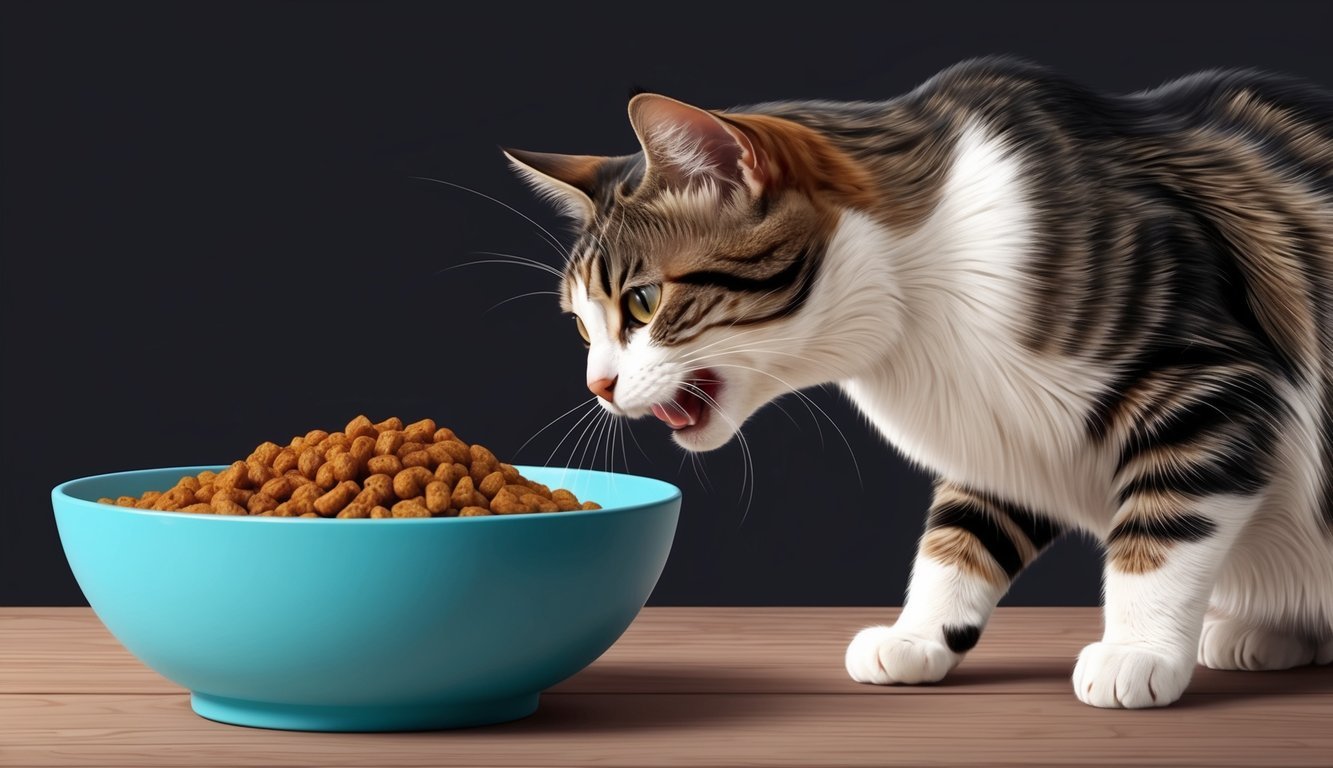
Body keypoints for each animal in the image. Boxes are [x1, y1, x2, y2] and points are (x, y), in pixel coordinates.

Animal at [501, 57, 1333, 709]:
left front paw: (1135, 650)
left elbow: (1163, 528)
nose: (598, 386)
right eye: (581, 327)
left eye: (642, 302)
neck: (921, 318)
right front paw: (919, 635)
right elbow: (958, 537)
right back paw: (1263, 632)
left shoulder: (1203, 379)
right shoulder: (993, 439)